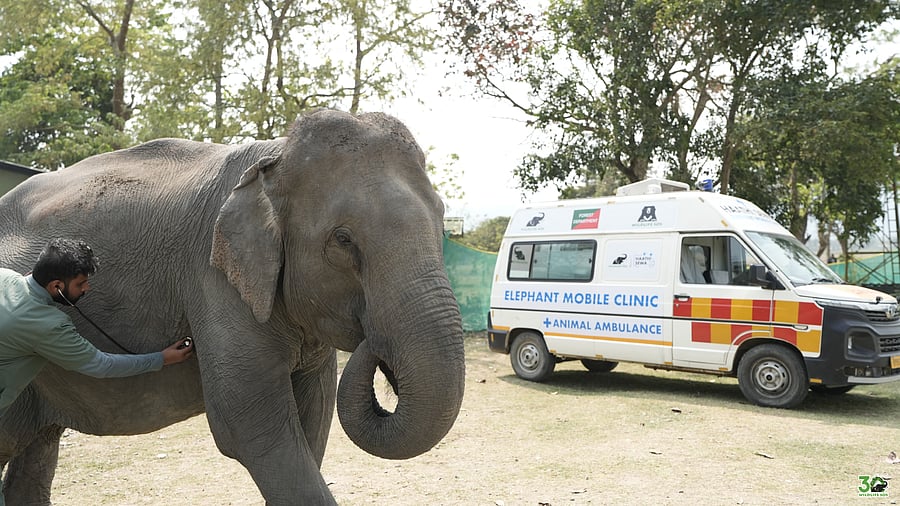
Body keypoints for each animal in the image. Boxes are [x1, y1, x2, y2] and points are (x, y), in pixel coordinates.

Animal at [0, 110, 466, 504]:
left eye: (442, 219)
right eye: (343, 239)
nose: (373, 338)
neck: (274, 156)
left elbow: (314, 415)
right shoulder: (213, 278)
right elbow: (251, 427)